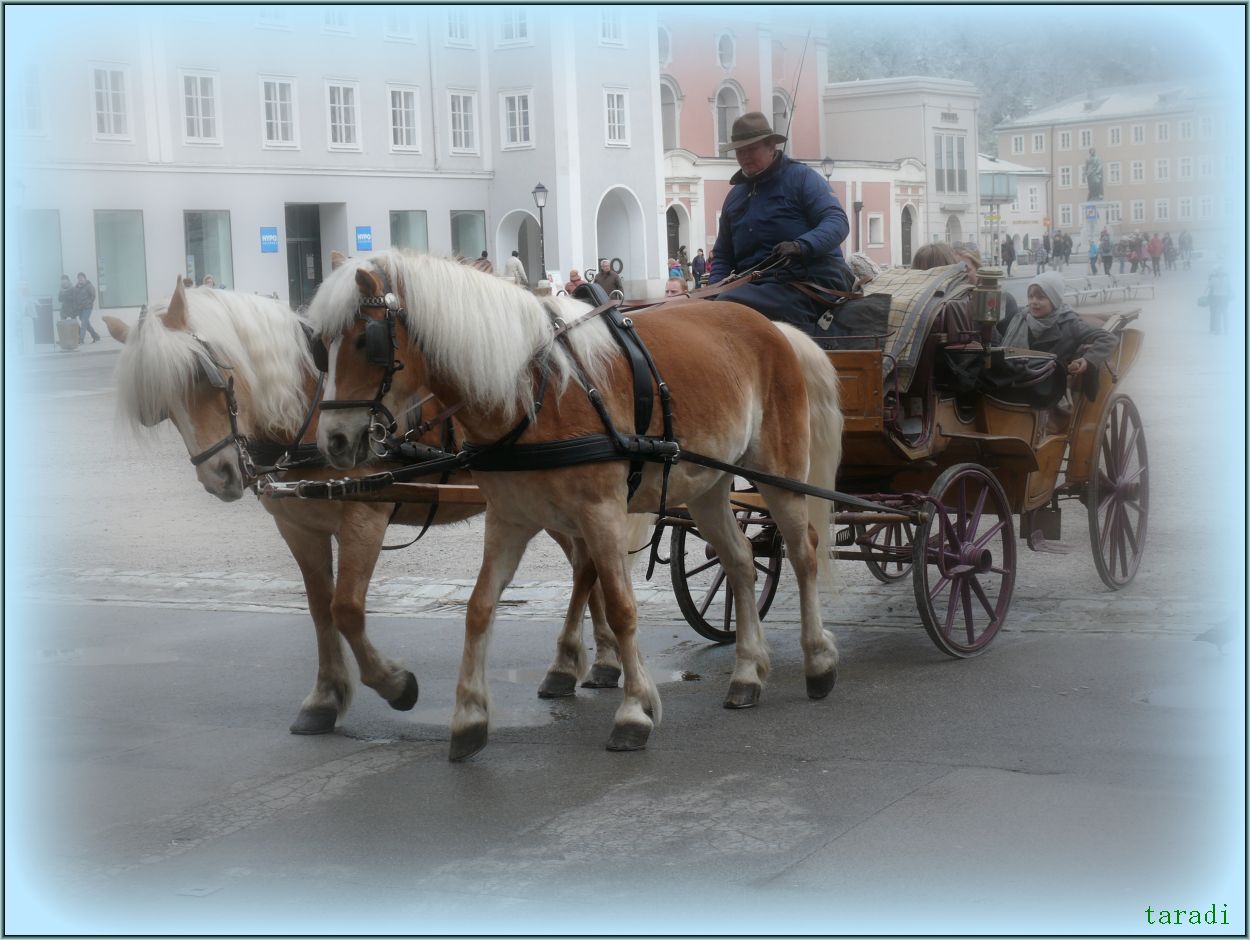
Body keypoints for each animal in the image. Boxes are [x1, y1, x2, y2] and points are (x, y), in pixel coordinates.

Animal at [108, 277, 635, 735]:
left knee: (586, 566)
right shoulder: (298, 527)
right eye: (159, 409)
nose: (218, 475)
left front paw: (394, 684)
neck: (309, 408)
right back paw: (600, 659)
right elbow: (320, 608)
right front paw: (325, 697)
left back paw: (575, 662)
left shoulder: (363, 517)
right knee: (586, 565)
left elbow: (346, 608)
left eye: (205, 376)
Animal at [308, 251, 845, 765]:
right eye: (319, 347)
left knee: (802, 551)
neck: (536, 391)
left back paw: (818, 661)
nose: (334, 442)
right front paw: (468, 716)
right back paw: (747, 674)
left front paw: (633, 711)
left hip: (778, 474)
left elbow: (622, 607)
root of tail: (773, 328)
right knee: (739, 562)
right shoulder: (509, 520)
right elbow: (480, 608)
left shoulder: (602, 515)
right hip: (707, 487)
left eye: (366, 342)